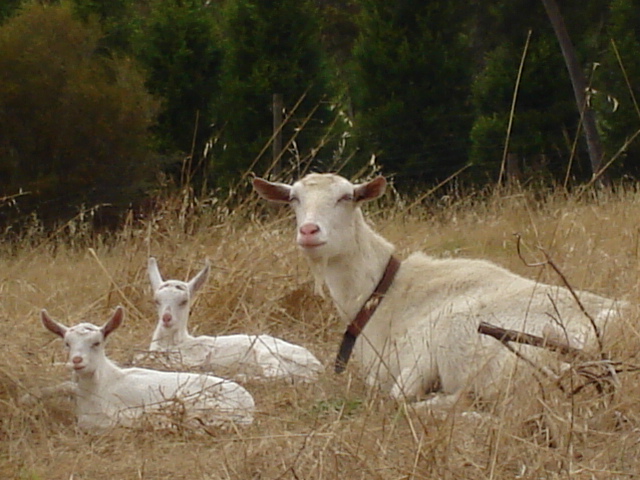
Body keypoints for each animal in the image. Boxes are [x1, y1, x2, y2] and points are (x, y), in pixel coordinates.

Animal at [254, 174, 624, 406]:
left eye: (347, 197)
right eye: (294, 199)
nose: (309, 231)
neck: (383, 292)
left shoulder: (417, 357)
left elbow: (394, 394)